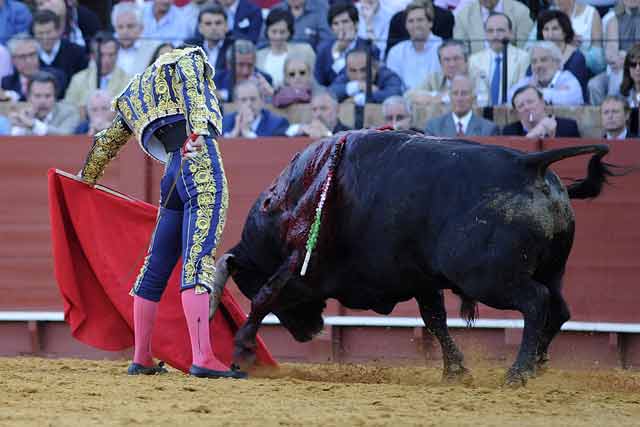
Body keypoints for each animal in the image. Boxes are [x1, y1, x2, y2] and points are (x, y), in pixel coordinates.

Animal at [210, 130, 616, 384]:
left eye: (247, 284)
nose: (309, 333)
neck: (292, 199)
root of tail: (529, 165)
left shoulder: (301, 268)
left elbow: (266, 298)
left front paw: (241, 352)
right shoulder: (421, 279)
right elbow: (435, 320)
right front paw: (456, 372)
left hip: (490, 279)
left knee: (535, 303)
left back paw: (518, 373)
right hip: (552, 269)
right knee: (559, 309)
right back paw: (538, 364)